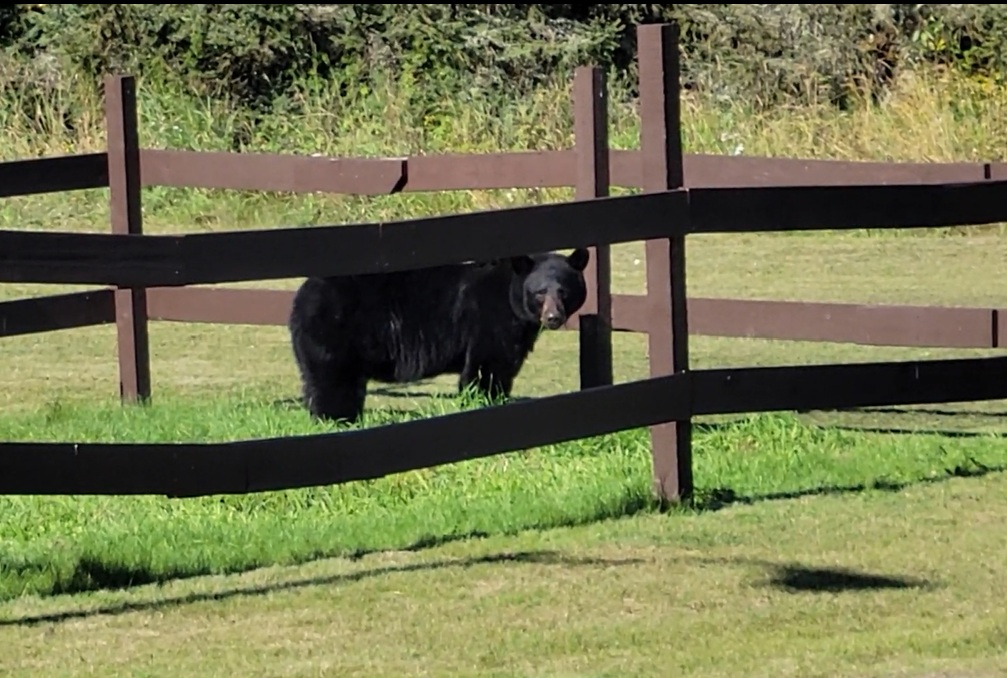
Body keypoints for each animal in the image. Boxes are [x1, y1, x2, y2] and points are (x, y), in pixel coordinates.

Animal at [287, 248, 591, 424]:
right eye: (540, 292)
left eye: (563, 291)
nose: (553, 318)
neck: (509, 296)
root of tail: (301, 296)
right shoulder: (488, 318)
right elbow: (487, 366)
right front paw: (485, 400)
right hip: (334, 333)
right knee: (333, 381)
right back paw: (336, 419)